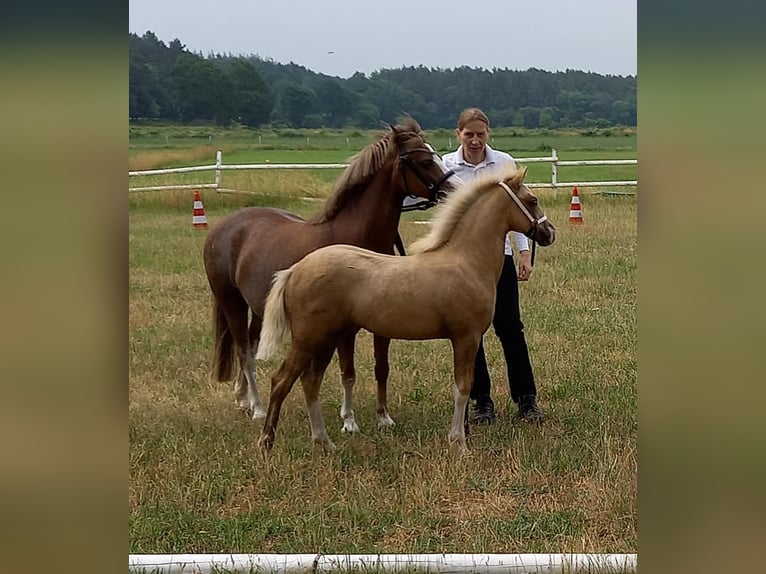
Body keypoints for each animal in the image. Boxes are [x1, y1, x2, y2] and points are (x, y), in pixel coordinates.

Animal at [202, 117, 456, 426]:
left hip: (259, 308)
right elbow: (348, 372)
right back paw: (258, 407)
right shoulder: (344, 327)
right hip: (233, 304)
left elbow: (381, 367)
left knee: (250, 346)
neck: (355, 237)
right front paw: (349, 420)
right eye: (424, 160)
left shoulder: (381, 321)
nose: (452, 190)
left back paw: (245, 399)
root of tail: (223, 228)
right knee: (243, 353)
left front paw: (383, 417)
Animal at [258, 165, 560, 454]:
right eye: (532, 200)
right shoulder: (466, 338)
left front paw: (461, 436)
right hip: (309, 339)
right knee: (282, 380)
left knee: (310, 382)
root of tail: (295, 270)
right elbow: (462, 388)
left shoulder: (469, 340)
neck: (466, 261)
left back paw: (324, 443)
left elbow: (464, 386)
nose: (549, 233)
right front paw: (460, 443)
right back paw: (267, 441)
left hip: (326, 340)